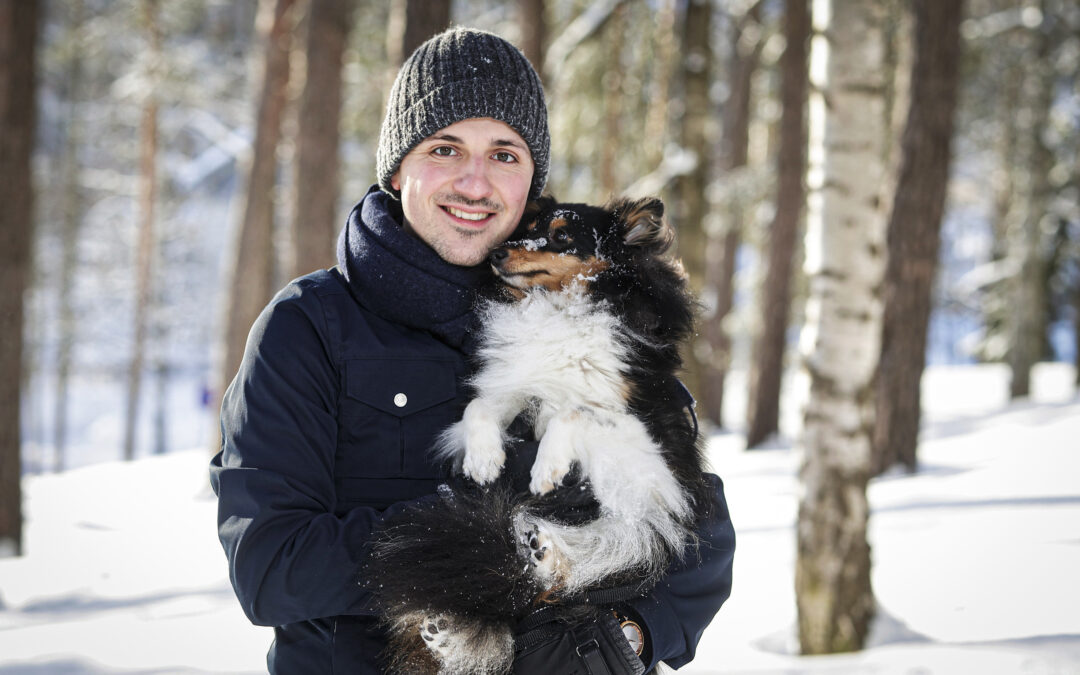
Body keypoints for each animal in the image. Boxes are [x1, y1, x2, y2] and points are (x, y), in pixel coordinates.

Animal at [362, 194, 712, 673]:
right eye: (526, 228)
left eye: (562, 236)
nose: (495, 254)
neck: (557, 309)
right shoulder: (515, 384)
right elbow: (479, 405)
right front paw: (484, 460)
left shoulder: (646, 435)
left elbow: (575, 412)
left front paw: (547, 469)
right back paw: (449, 634)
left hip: (640, 526)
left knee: (579, 567)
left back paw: (542, 551)